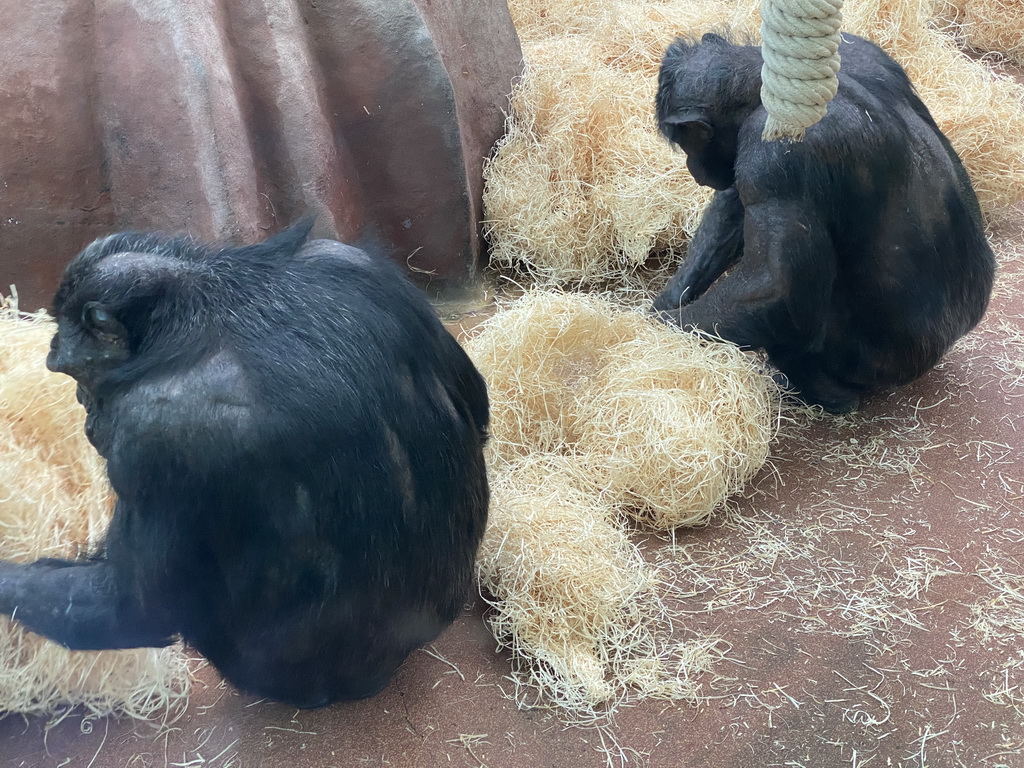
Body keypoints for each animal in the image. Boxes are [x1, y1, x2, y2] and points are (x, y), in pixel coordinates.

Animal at [651, 32, 995, 415]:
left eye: (687, 144)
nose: (693, 167)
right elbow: (734, 206)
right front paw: (664, 302)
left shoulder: (775, 158)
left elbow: (774, 287)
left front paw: (648, 330)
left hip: (868, 363)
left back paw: (824, 392)